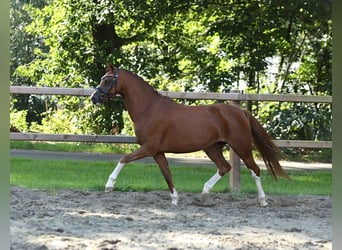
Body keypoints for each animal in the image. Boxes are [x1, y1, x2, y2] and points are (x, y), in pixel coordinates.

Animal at [90, 63, 288, 206]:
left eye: (107, 80)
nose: (94, 98)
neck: (149, 109)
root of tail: (241, 112)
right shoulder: (157, 152)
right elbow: (167, 174)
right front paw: (175, 199)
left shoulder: (148, 147)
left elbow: (123, 159)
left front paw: (109, 185)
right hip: (212, 148)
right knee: (224, 167)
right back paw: (204, 193)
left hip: (241, 146)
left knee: (254, 170)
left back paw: (263, 201)